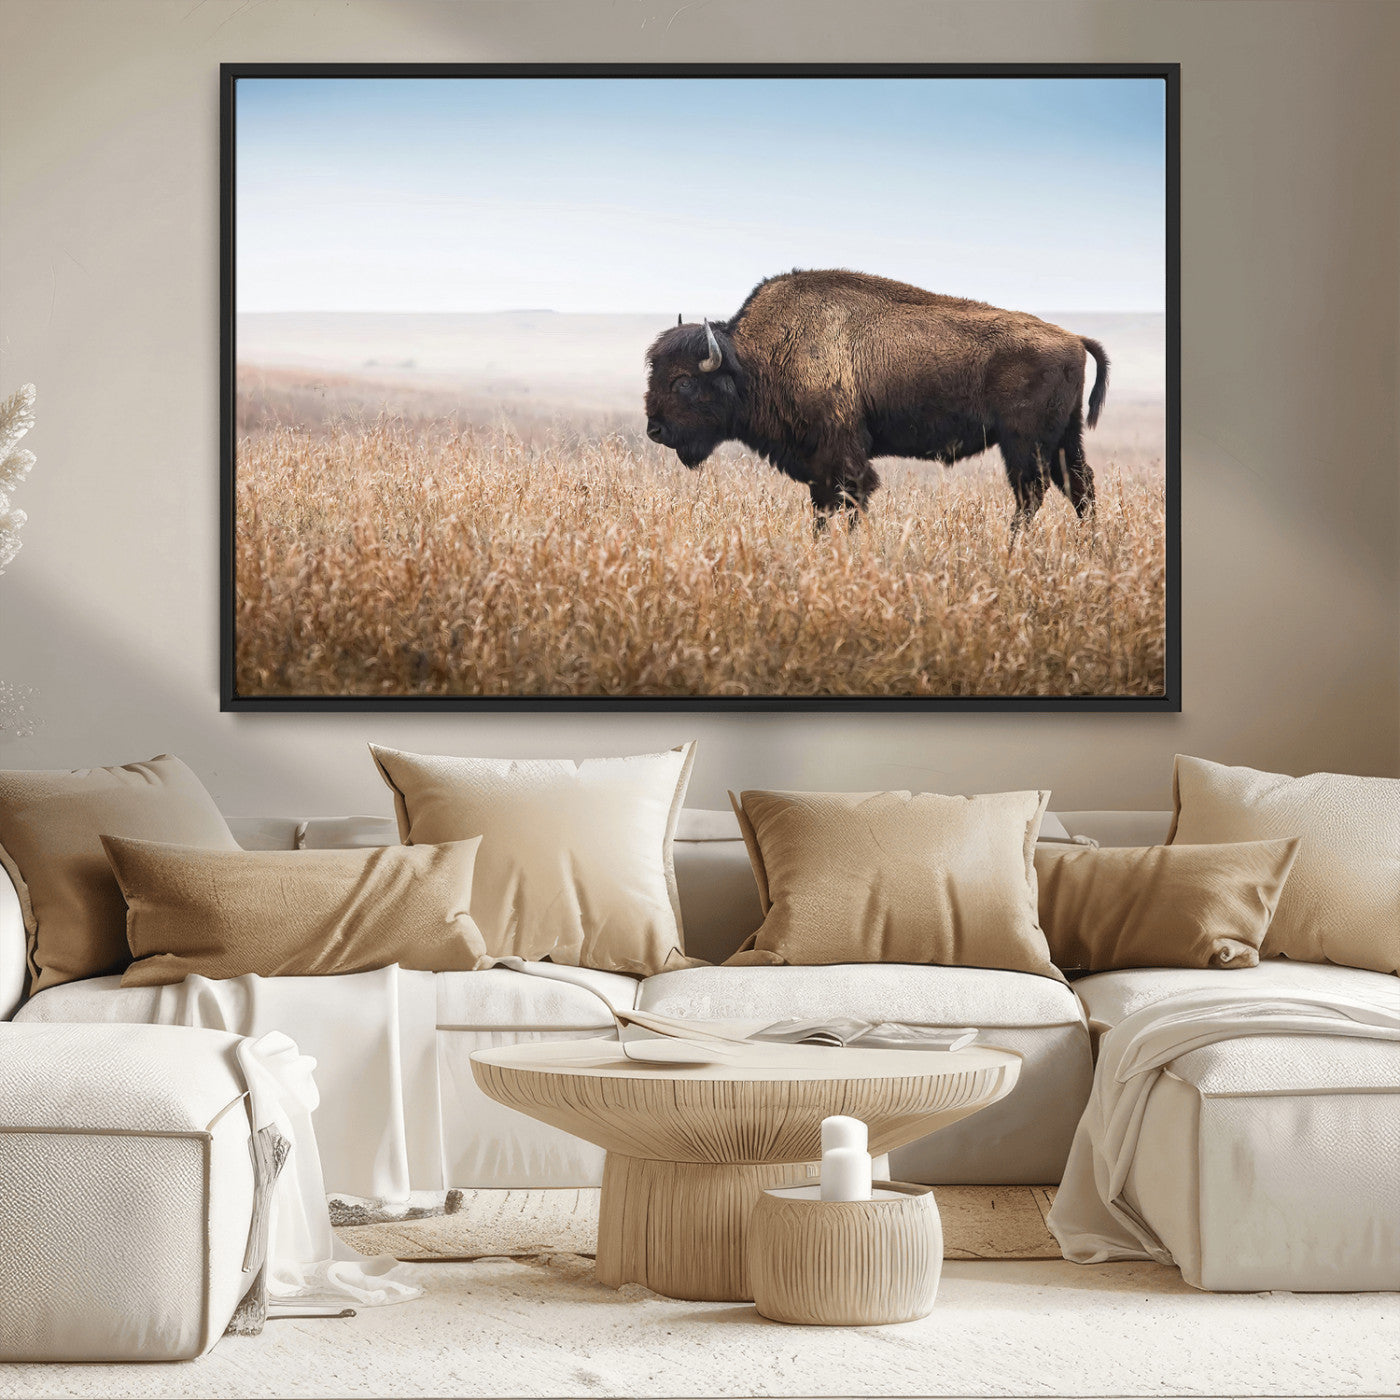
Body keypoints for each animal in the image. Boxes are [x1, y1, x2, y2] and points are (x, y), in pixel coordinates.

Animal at [644, 269, 1109, 532]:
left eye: (684, 382)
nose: (654, 430)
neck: (754, 358)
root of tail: (1073, 338)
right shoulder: (818, 465)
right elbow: (823, 508)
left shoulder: (842, 456)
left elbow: (850, 500)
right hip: (1064, 439)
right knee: (1079, 487)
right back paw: (1089, 547)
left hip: (1024, 443)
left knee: (1032, 493)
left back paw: (1013, 547)